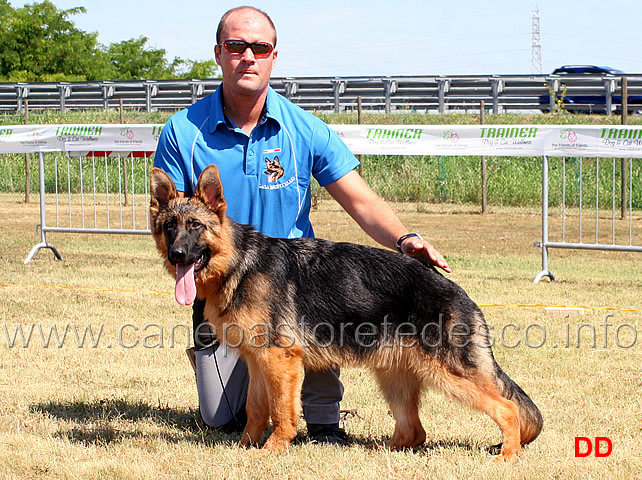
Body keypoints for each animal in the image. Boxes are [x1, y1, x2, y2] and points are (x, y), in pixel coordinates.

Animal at [149, 164, 540, 462]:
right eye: (170, 227)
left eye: (196, 226)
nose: (177, 255)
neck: (238, 264)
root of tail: (460, 293)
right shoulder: (258, 362)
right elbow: (257, 409)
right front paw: (246, 447)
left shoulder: (281, 362)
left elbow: (282, 412)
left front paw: (272, 451)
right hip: (393, 376)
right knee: (415, 432)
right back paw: (378, 449)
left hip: (448, 374)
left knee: (507, 409)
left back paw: (508, 455)